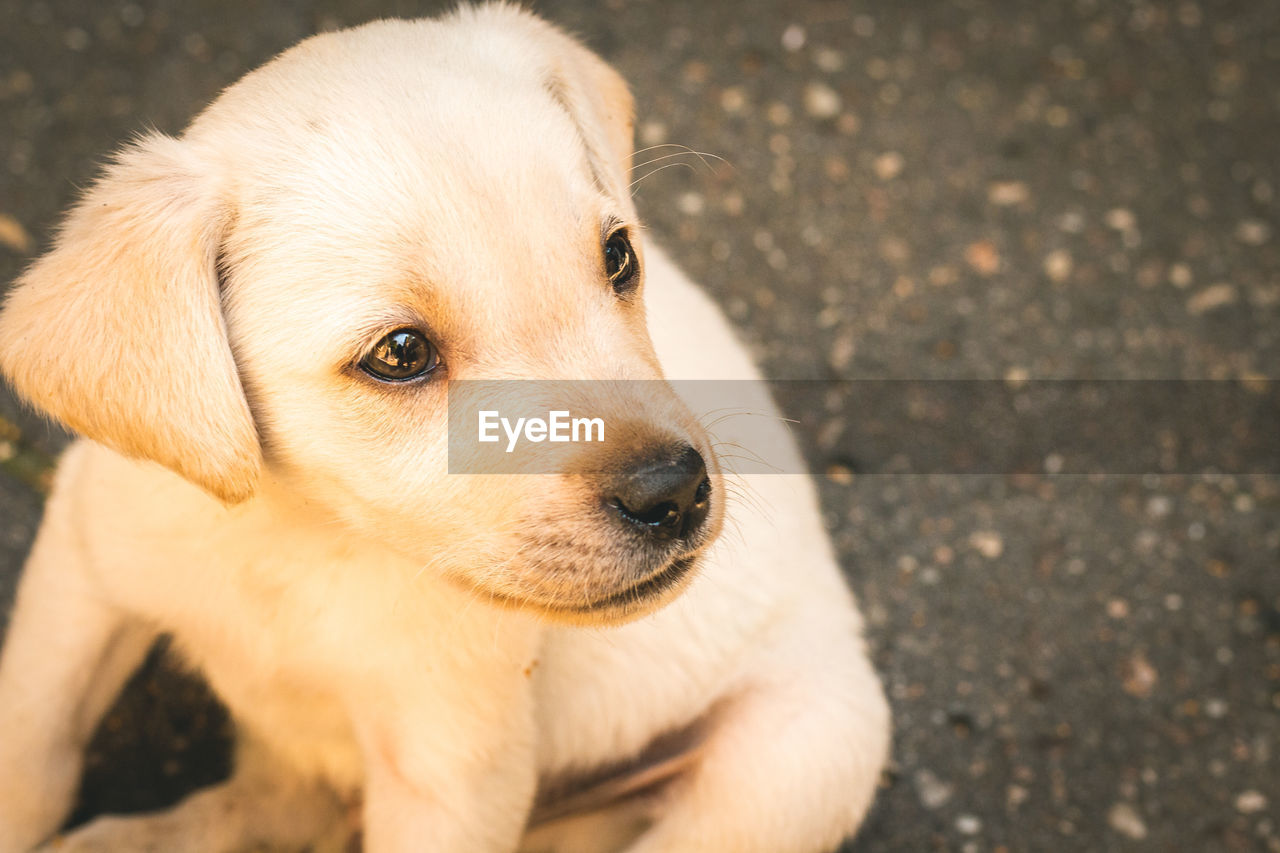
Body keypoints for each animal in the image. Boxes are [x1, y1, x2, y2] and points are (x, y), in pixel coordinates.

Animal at [0, 6, 890, 850]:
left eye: (619, 258)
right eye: (400, 353)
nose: (673, 493)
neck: (306, 536)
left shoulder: (453, 767)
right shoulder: (79, 568)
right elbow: (32, 746)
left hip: (800, 759)